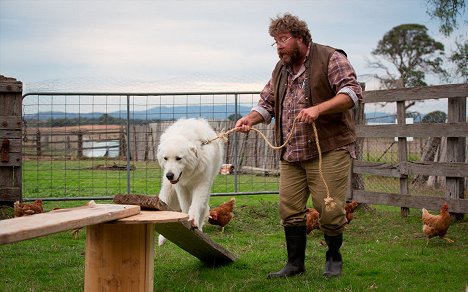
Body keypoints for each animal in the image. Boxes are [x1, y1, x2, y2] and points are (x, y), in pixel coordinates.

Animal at [156, 117, 224, 245]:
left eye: (178, 158)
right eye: (165, 158)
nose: (169, 175)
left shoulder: (202, 184)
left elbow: (196, 205)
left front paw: (193, 221)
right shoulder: (180, 187)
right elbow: (185, 206)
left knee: (203, 208)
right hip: (168, 190)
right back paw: (161, 239)